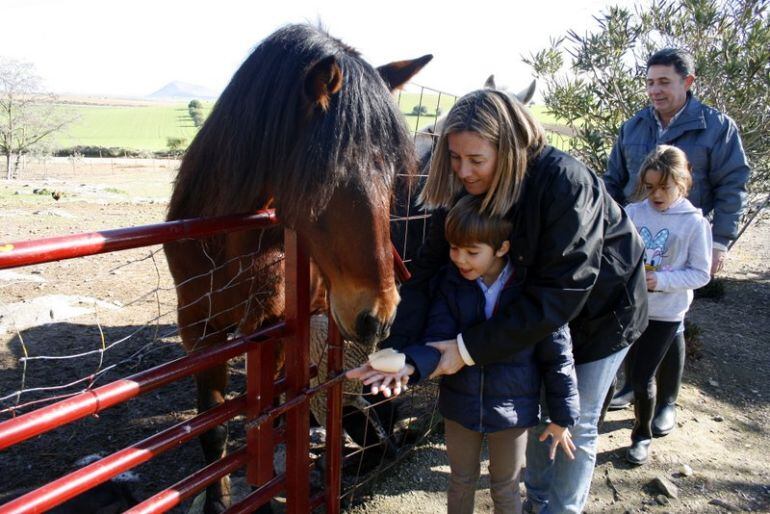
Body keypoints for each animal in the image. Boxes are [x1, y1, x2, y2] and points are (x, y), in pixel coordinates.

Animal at [164, 25, 426, 512]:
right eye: (329, 174)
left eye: (395, 175)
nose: (379, 316)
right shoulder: (199, 330)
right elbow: (214, 429)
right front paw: (218, 503)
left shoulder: (271, 328)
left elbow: (268, 414)